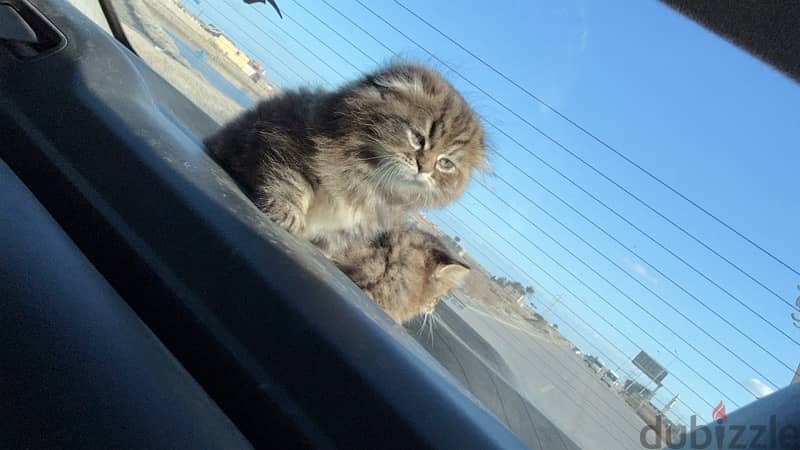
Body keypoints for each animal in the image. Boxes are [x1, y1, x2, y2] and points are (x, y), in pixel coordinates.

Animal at [203, 62, 484, 256]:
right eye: (417, 137)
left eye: (445, 163)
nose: (423, 168)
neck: (371, 179)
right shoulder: (287, 142)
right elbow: (292, 182)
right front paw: (288, 213)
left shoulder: (362, 222)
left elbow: (336, 238)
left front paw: (324, 249)